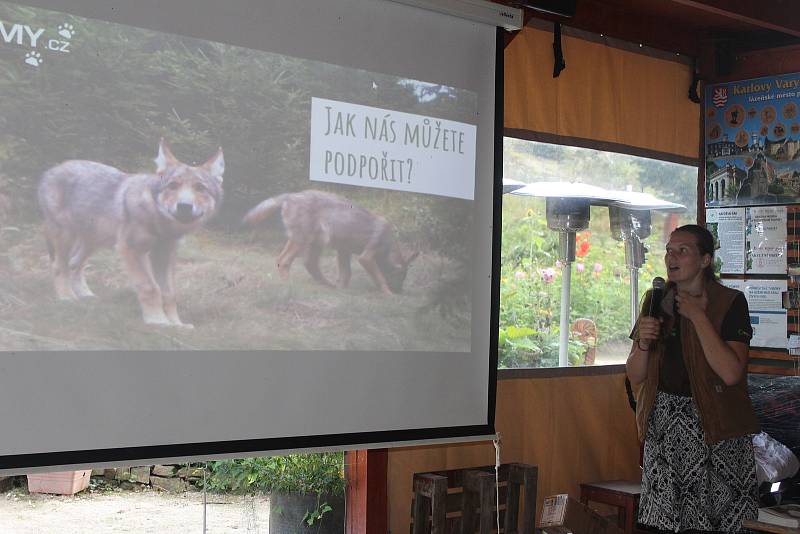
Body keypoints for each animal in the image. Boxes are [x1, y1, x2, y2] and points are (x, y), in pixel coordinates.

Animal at [37, 140, 223, 328]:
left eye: (200, 188)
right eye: (173, 185)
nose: (184, 206)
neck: (160, 222)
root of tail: (52, 169)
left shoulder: (164, 255)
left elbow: (169, 293)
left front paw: (177, 325)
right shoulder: (132, 250)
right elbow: (150, 288)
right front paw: (157, 321)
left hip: (92, 243)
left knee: (74, 264)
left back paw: (84, 295)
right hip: (66, 237)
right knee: (59, 266)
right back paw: (67, 298)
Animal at [242, 191, 418, 296]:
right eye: (401, 277)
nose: (400, 291)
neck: (389, 244)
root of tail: (290, 195)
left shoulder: (344, 251)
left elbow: (346, 274)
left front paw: (342, 291)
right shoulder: (366, 257)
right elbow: (380, 278)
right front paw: (389, 294)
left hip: (313, 244)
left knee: (308, 265)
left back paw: (328, 285)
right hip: (302, 242)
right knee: (284, 261)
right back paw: (288, 285)